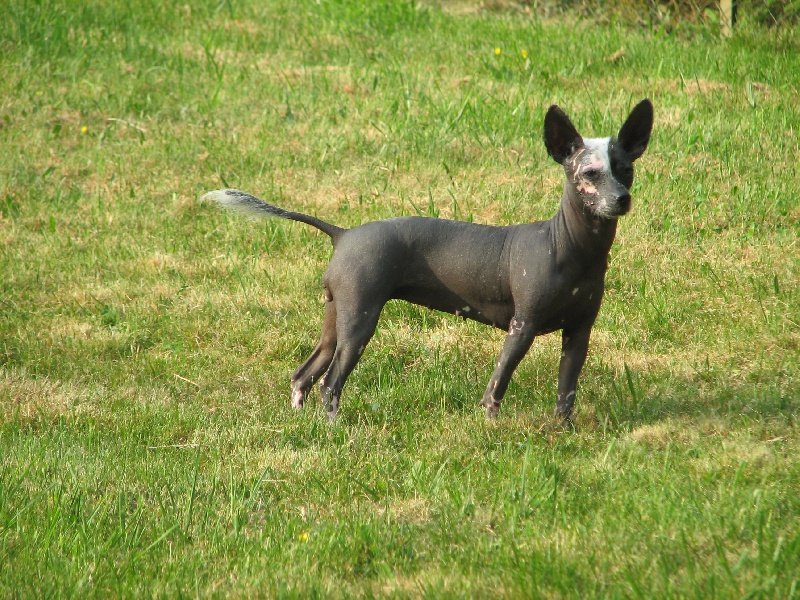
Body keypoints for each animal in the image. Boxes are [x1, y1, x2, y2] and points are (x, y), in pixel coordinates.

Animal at [204, 99, 653, 426]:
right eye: (590, 173)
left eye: (625, 170)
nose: (621, 199)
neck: (568, 247)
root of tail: (343, 233)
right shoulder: (521, 327)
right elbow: (497, 385)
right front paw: (491, 427)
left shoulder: (579, 334)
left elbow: (566, 392)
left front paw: (564, 431)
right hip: (359, 322)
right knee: (330, 383)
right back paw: (333, 428)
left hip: (337, 319)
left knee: (304, 375)